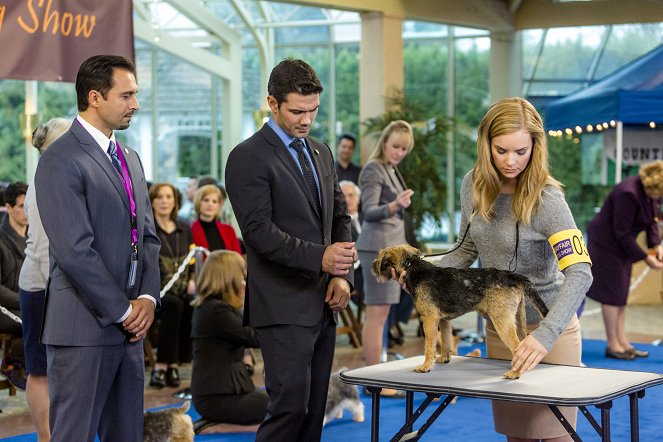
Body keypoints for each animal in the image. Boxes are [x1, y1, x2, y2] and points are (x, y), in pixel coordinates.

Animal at [374, 243, 548, 378]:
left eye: (380, 257)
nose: (373, 266)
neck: (413, 267)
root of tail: (512, 276)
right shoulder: (442, 321)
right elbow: (446, 339)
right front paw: (444, 358)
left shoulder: (429, 320)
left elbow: (429, 346)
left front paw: (425, 366)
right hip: (518, 319)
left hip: (503, 322)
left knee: (517, 347)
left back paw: (515, 373)